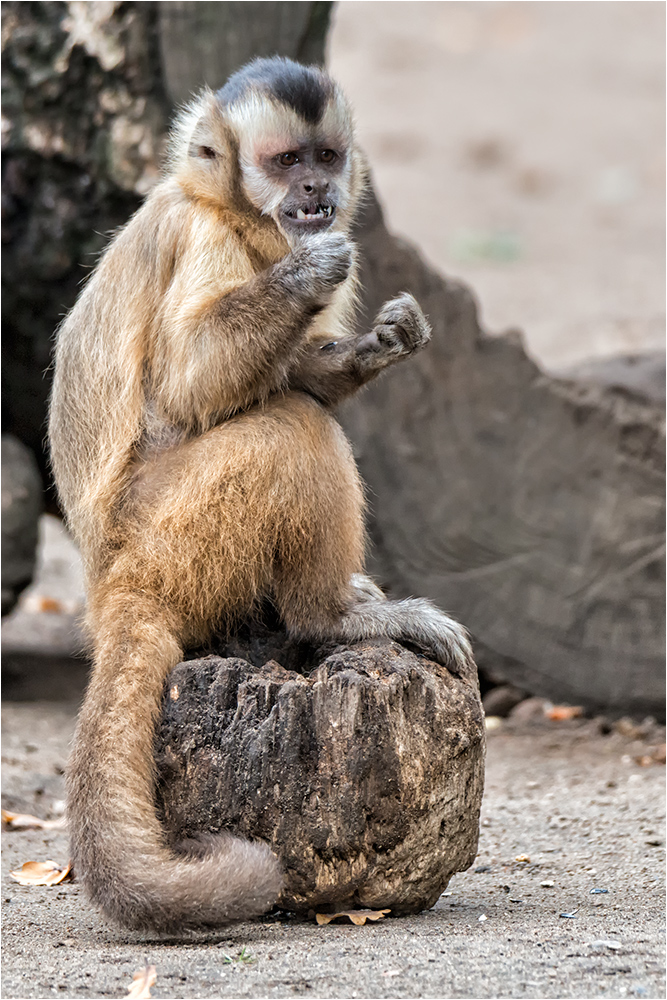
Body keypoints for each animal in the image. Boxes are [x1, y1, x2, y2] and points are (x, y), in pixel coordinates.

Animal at [49, 58, 472, 936]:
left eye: (324, 155)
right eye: (284, 162)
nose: (314, 189)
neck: (243, 225)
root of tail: (105, 590)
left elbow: (305, 370)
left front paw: (382, 343)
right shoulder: (203, 234)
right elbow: (191, 383)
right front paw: (306, 273)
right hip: (167, 536)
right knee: (286, 428)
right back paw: (330, 616)